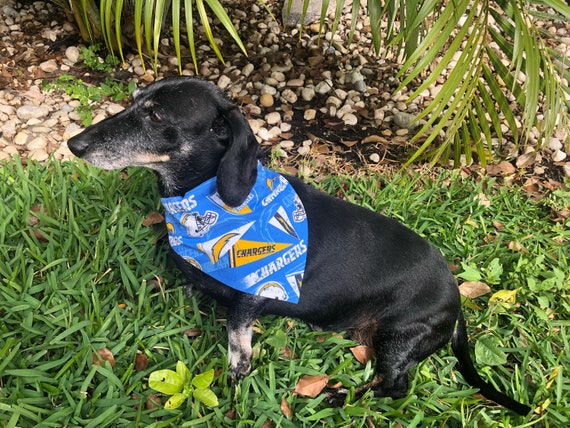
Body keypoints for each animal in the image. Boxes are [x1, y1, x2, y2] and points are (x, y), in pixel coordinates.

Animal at [67, 76, 528, 414]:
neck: (204, 204)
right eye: (133, 101)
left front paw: (235, 387)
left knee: (396, 386)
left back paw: (343, 397)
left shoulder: (251, 297)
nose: (74, 144)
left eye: (156, 114)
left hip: (398, 338)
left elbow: (238, 348)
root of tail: (455, 297)